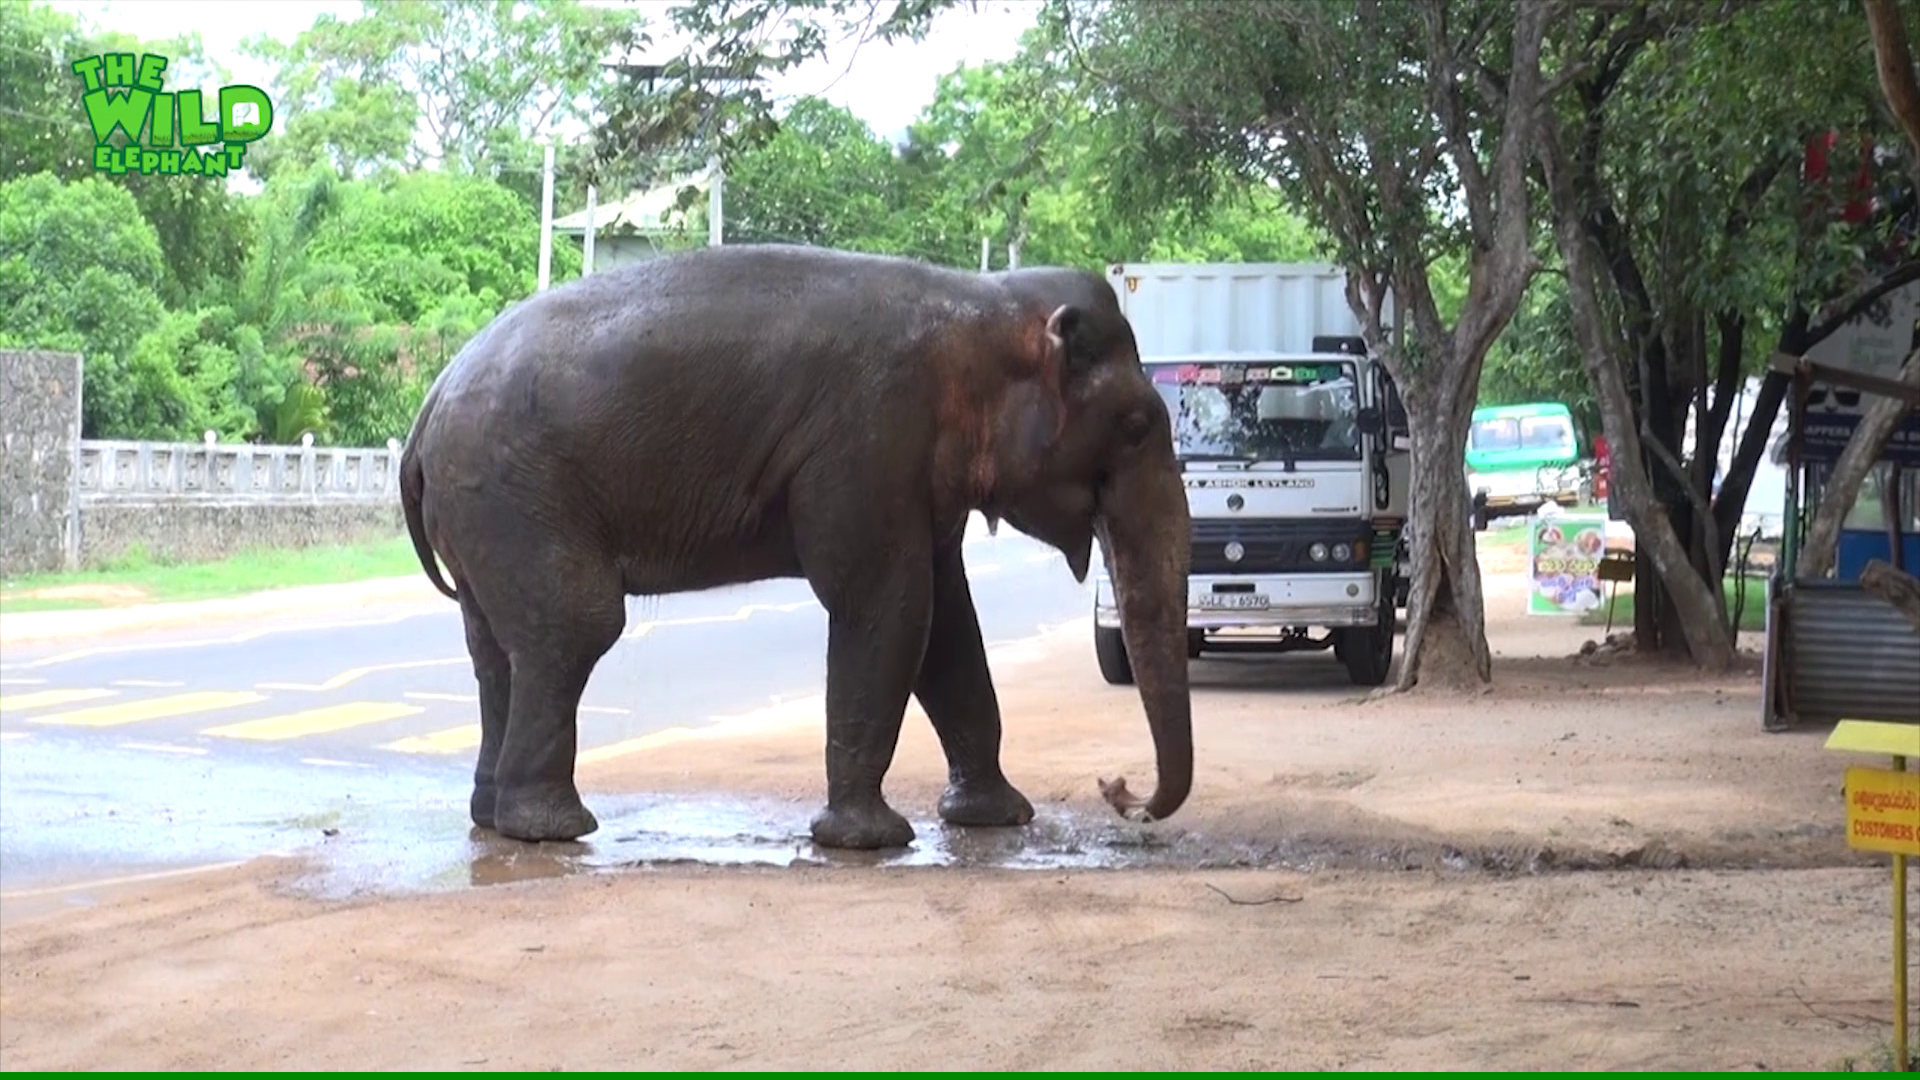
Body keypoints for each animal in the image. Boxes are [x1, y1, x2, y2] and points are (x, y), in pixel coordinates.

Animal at [397, 244, 1190, 849]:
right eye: (1135, 426)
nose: (1118, 789)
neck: (978, 303)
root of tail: (427, 409)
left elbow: (948, 628)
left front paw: (997, 819)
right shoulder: (868, 438)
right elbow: (887, 605)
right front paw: (870, 841)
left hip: (484, 514)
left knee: (495, 647)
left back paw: (495, 820)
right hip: (515, 496)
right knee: (576, 627)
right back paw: (553, 830)